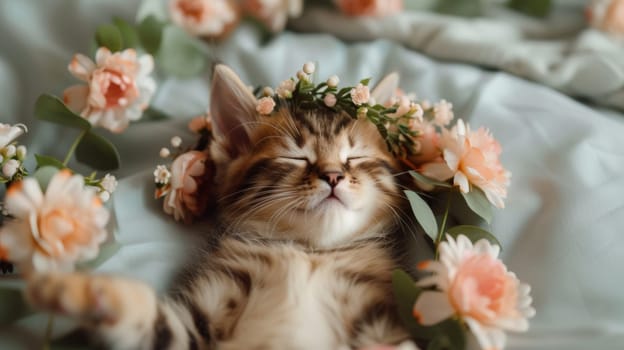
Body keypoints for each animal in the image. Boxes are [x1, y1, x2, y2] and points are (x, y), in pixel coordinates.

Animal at [25, 65, 414, 350]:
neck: (307, 254)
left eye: (355, 158)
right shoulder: (204, 315)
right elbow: (156, 323)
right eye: (295, 156)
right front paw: (85, 293)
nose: (333, 175)